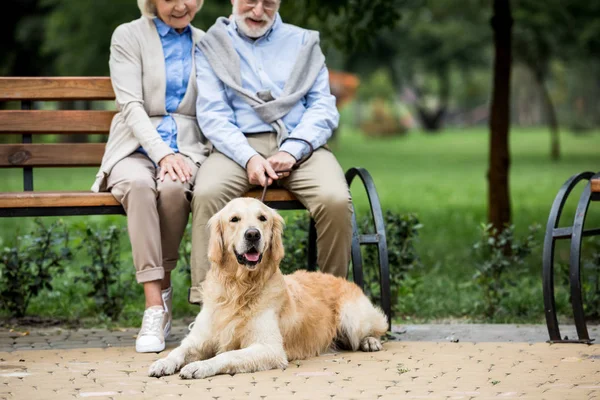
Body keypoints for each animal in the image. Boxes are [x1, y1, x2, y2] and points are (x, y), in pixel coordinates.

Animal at [148, 198, 386, 380]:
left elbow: (228, 355)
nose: (253, 234)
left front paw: (199, 366)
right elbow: (179, 350)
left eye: (262, 218)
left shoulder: (270, 348)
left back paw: (370, 341)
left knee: (377, 327)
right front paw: (163, 362)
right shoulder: (198, 339)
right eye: (234, 219)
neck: (238, 288)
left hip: (352, 317)